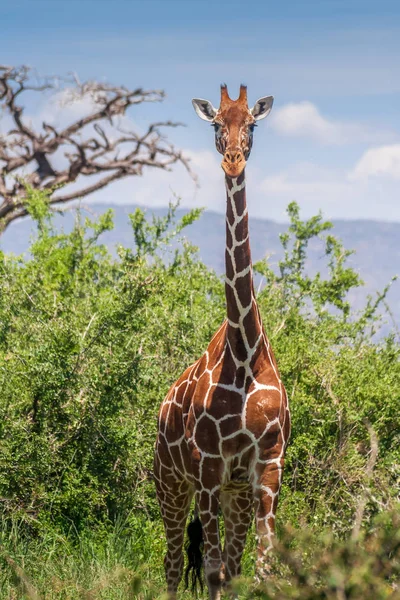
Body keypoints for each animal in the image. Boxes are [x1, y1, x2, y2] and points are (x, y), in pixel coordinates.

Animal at [154, 84, 290, 600]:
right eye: (216, 124)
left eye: (251, 123)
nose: (232, 160)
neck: (246, 354)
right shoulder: (209, 465)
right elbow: (211, 569)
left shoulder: (266, 465)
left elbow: (259, 566)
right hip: (171, 481)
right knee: (174, 562)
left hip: (232, 493)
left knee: (225, 560)